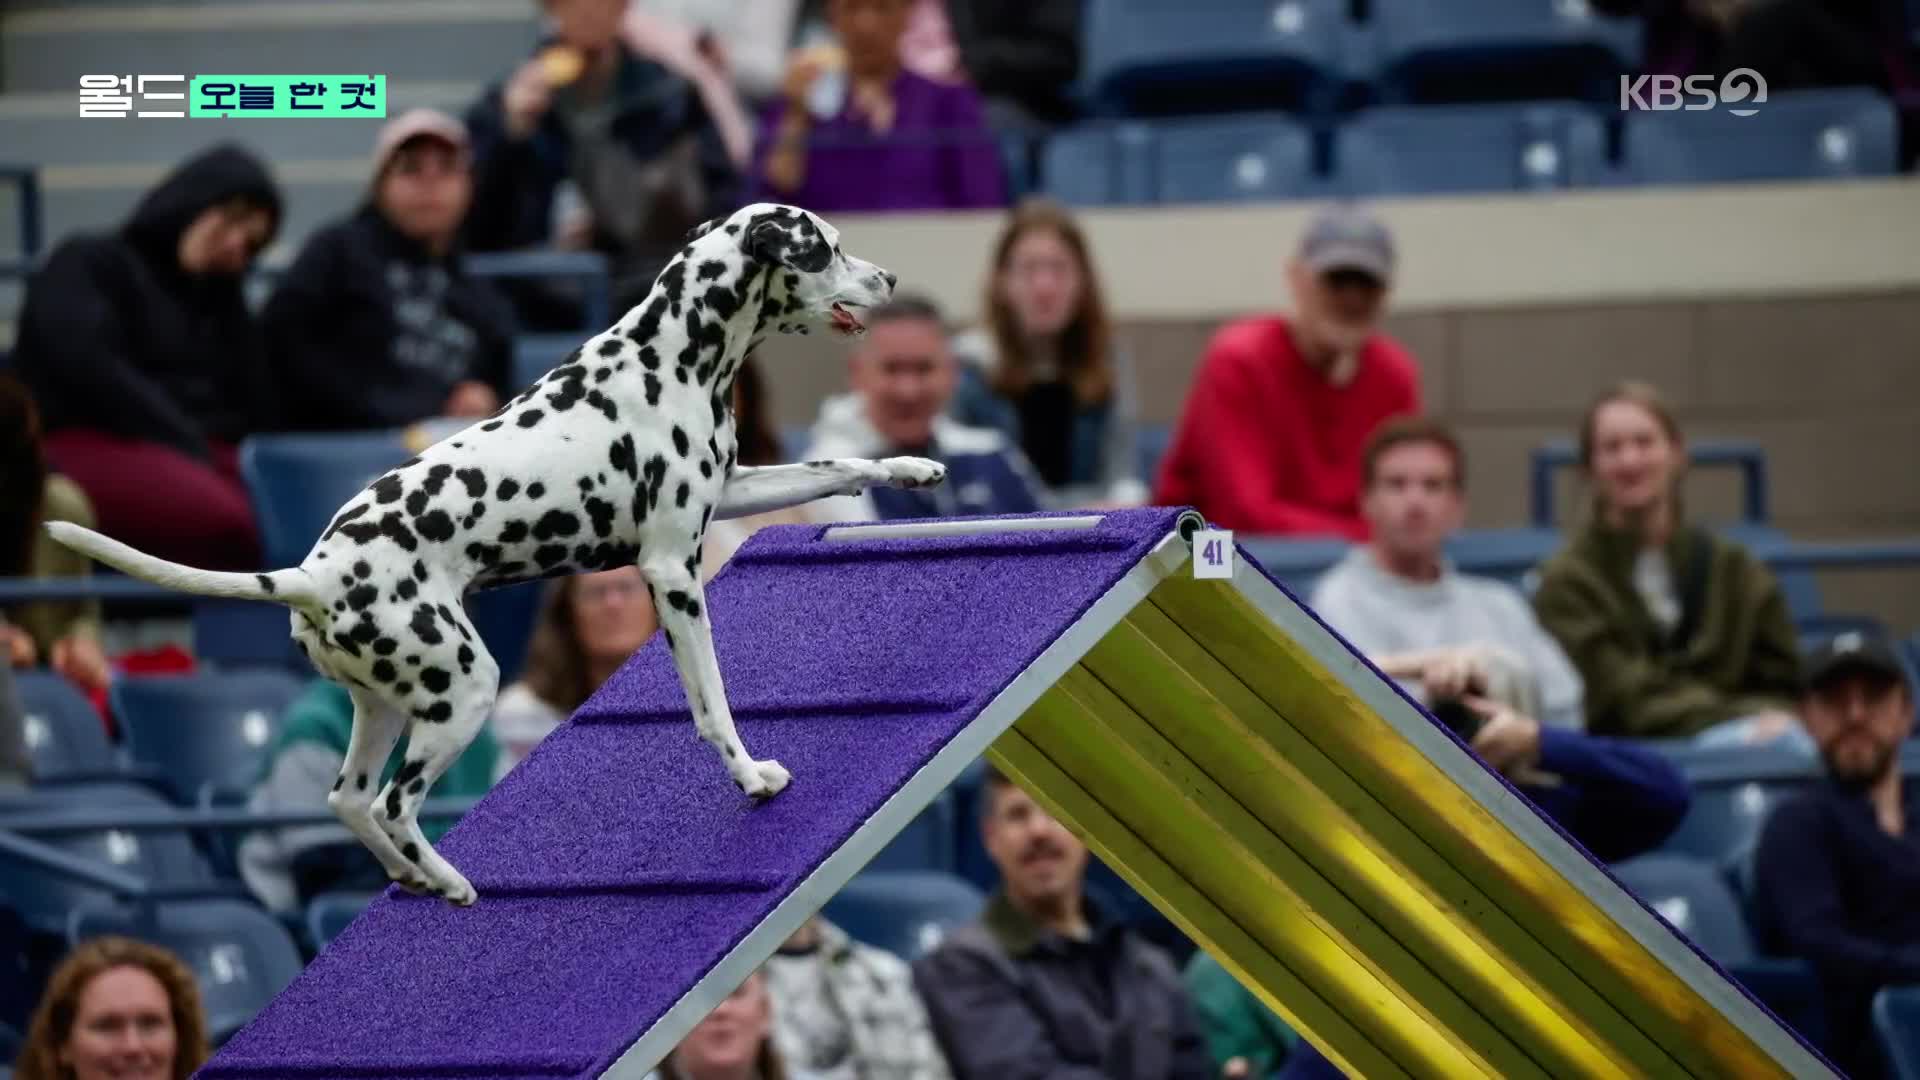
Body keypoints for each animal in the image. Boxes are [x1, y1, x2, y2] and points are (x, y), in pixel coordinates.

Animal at [43, 199, 944, 899]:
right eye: (826, 247)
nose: (891, 282)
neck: (670, 355)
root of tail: (313, 574)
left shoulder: (733, 490)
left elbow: (840, 467)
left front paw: (912, 468)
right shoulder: (671, 572)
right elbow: (712, 703)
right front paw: (751, 776)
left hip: (386, 709)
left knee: (349, 801)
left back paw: (415, 877)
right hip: (465, 690)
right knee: (394, 805)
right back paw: (449, 880)